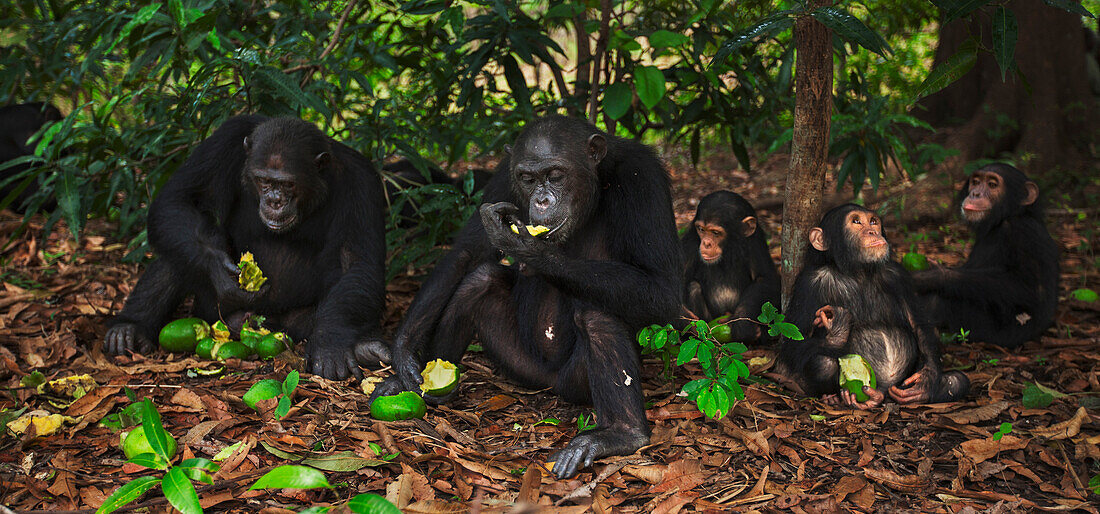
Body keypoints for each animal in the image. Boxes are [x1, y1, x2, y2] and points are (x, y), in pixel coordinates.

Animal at [100, 116, 391, 383]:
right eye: (263, 180)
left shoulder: (361, 181)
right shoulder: (225, 139)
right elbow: (178, 200)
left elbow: (355, 261)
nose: (274, 200)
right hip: (209, 310)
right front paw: (221, 270)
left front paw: (331, 345)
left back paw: (365, 348)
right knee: (178, 249)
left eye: (288, 184)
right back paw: (129, 328)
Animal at [367, 115, 677, 479]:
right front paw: (404, 353)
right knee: (480, 279)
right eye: (527, 179)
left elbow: (660, 289)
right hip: (520, 363)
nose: (541, 200)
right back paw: (426, 380)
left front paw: (529, 247)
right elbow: (467, 252)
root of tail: (549, 382)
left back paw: (622, 434)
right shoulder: (504, 172)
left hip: (574, 382)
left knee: (598, 315)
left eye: (555, 175)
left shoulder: (643, 180)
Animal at [677, 190, 783, 341]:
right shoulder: (690, 242)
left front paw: (742, 323)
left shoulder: (755, 243)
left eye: (715, 233)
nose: (706, 243)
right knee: (693, 287)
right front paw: (685, 320)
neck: (728, 250)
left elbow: (765, 278)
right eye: (701, 229)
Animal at [774, 203, 972, 409]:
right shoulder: (809, 284)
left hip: (900, 385)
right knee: (822, 364)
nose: (872, 231)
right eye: (856, 221)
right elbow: (794, 343)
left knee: (957, 381)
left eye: (873, 221)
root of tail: (884, 392)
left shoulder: (898, 275)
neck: (858, 272)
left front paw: (926, 380)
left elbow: (919, 324)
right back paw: (837, 397)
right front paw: (837, 329)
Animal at [910, 163, 1056, 350]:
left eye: (992, 185)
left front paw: (933, 276)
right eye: (976, 182)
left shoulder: (1025, 233)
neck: (1003, 219)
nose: (975, 194)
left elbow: (1026, 286)